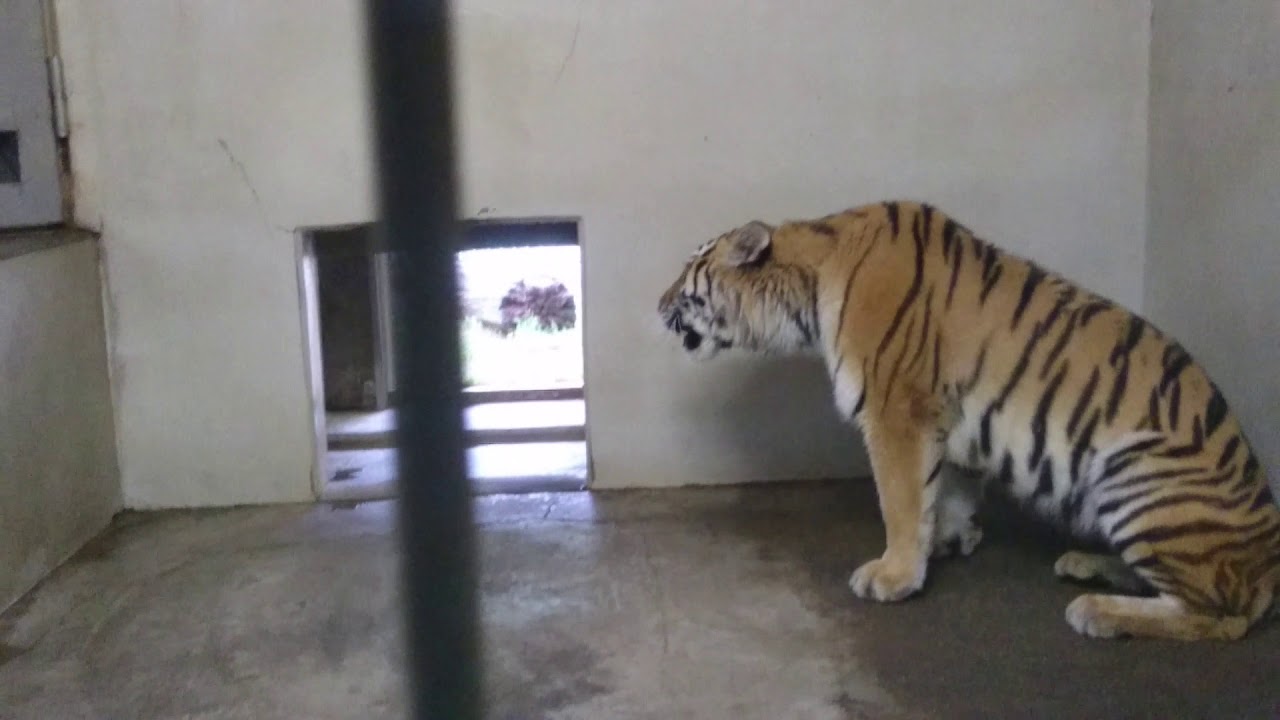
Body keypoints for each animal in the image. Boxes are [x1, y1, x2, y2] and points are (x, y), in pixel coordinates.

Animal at [660, 197, 1280, 638]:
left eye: (689, 269)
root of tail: (1268, 560)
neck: (808, 294)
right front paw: (946, 541)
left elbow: (900, 498)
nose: (658, 305)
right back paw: (1087, 564)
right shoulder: (943, 418)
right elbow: (944, 490)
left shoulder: (896, 409)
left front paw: (894, 575)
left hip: (1137, 472)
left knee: (1222, 614)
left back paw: (1098, 611)